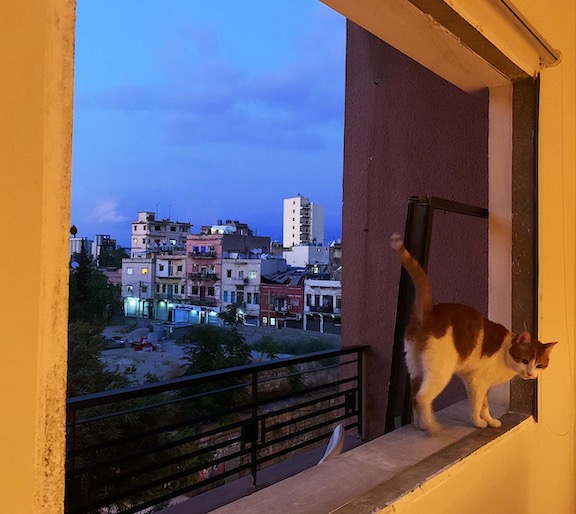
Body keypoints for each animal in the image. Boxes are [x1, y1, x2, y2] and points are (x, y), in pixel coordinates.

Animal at [390, 233, 556, 432]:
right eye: (525, 361)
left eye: (539, 365)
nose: (530, 374)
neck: (504, 354)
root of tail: (430, 311)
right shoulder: (477, 382)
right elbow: (476, 406)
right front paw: (478, 423)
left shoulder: (480, 384)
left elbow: (485, 405)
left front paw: (491, 421)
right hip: (440, 373)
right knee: (421, 397)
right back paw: (431, 426)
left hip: (415, 369)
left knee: (414, 395)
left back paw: (419, 425)